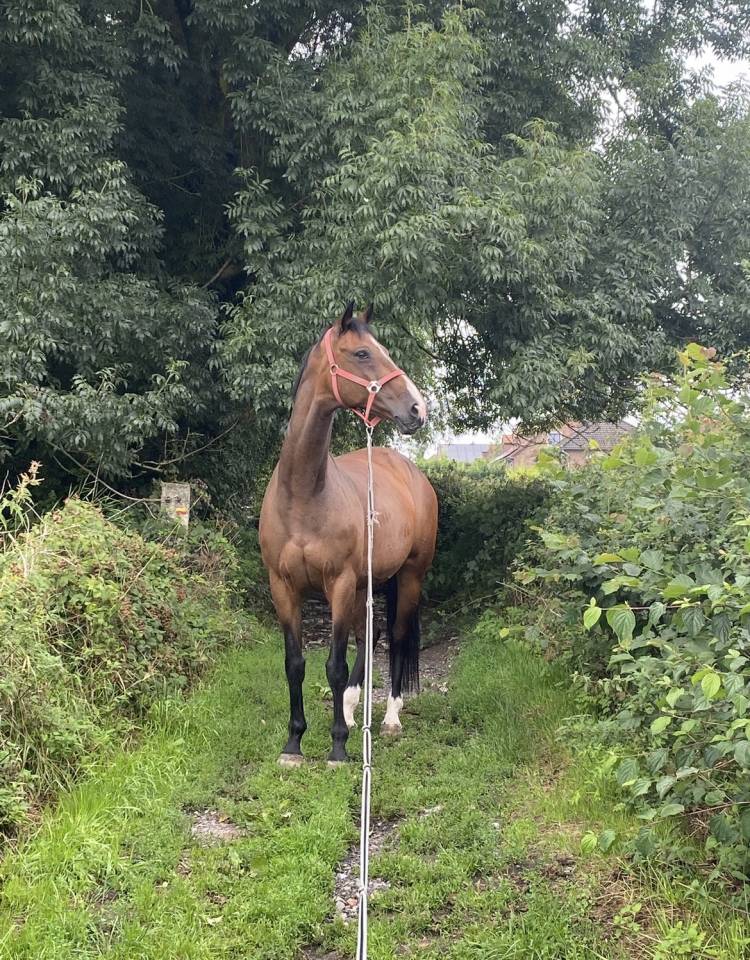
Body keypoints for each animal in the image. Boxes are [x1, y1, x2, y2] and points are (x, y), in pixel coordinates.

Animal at [259, 302, 438, 766]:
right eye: (361, 353)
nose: (417, 409)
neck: (304, 493)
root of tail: (409, 471)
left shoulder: (338, 583)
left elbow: (334, 665)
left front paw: (337, 746)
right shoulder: (283, 587)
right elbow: (295, 663)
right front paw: (294, 743)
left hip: (409, 577)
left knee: (395, 638)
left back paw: (389, 717)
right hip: (366, 583)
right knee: (369, 636)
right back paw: (355, 707)